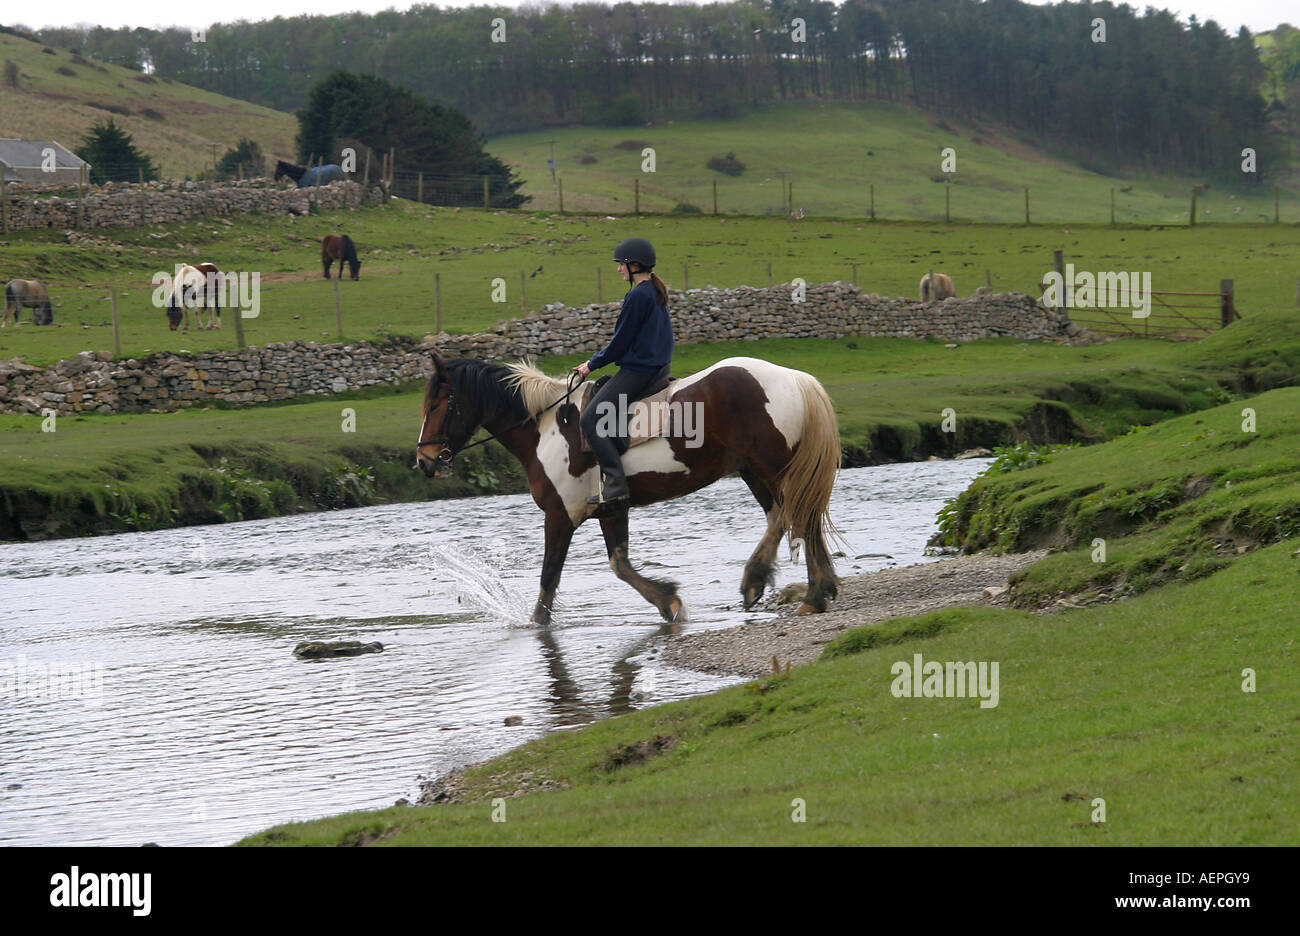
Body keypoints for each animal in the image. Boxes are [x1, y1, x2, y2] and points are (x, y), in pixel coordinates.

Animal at [415, 354, 842, 627]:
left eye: (436, 404)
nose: (424, 461)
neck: (547, 429)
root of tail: (792, 377)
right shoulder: (610, 509)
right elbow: (620, 564)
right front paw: (668, 600)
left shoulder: (559, 516)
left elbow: (548, 583)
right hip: (754, 470)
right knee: (789, 519)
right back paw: (804, 589)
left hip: (771, 468)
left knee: (795, 518)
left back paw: (789, 589)